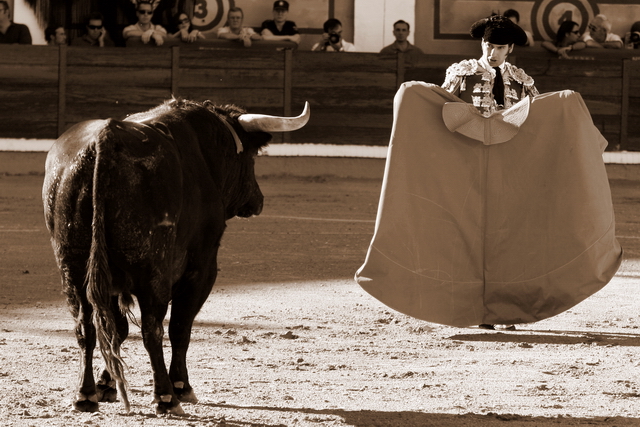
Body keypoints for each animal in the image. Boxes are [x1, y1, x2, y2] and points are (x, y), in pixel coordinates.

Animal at [42, 98, 310, 414]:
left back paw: (84, 395)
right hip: (153, 269)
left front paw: (106, 384)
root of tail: (107, 136)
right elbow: (180, 327)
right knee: (152, 329)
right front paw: (182, 386)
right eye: (252, 157)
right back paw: (165, 397)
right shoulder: (202, 266)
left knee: (86, 327)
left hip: (71, 268)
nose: (258, 200)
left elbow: (116, 328)